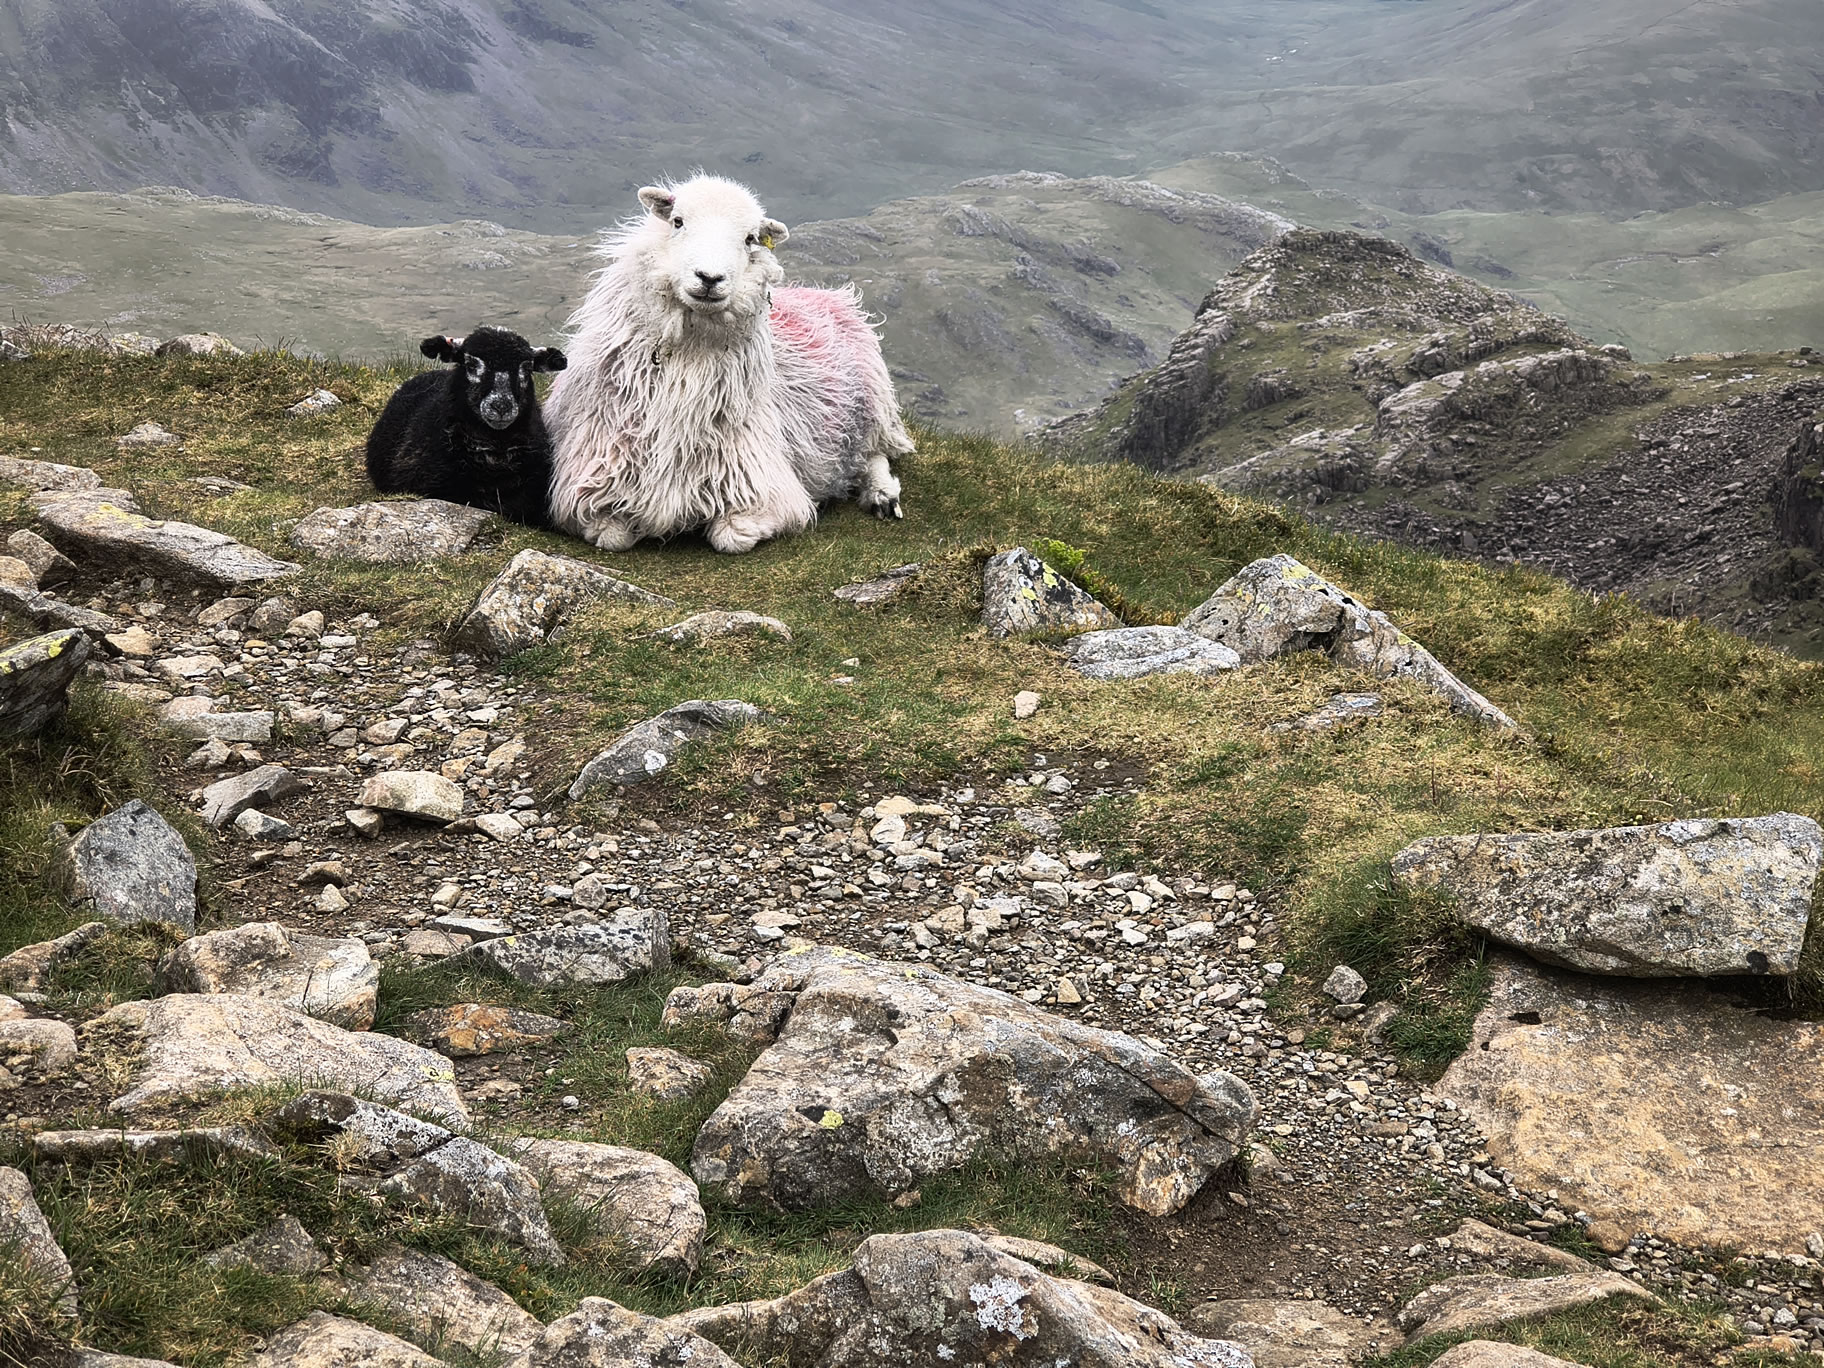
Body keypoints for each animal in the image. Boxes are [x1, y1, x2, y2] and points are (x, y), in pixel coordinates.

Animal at [543, 174, 914, 554]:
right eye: (678, 221)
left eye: (750, 238)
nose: (709, 278)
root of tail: (822, 293)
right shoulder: (589, 491)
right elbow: (611, 537)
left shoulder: (761, 488)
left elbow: (731, 537)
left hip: (873, 403)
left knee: (873, 454)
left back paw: (882, 496)